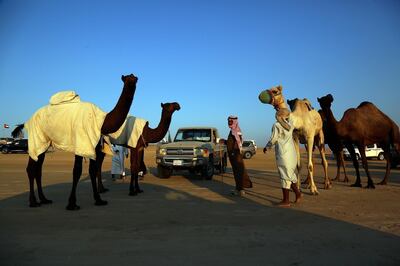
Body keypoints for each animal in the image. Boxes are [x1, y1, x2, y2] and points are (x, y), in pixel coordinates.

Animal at [12, 74, 138, 210]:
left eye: (134, 78)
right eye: (127, 79)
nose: (132, 82)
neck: (103, 121)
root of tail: (27, 121)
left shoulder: (93, 145)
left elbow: (92, 170)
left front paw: (99, 200)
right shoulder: (81, 141)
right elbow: (77, 171)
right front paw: (72, 204)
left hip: (44, 143)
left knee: (38, 169)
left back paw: (44, 199)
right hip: (37, 138)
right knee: (31, 168)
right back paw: (33, 202)